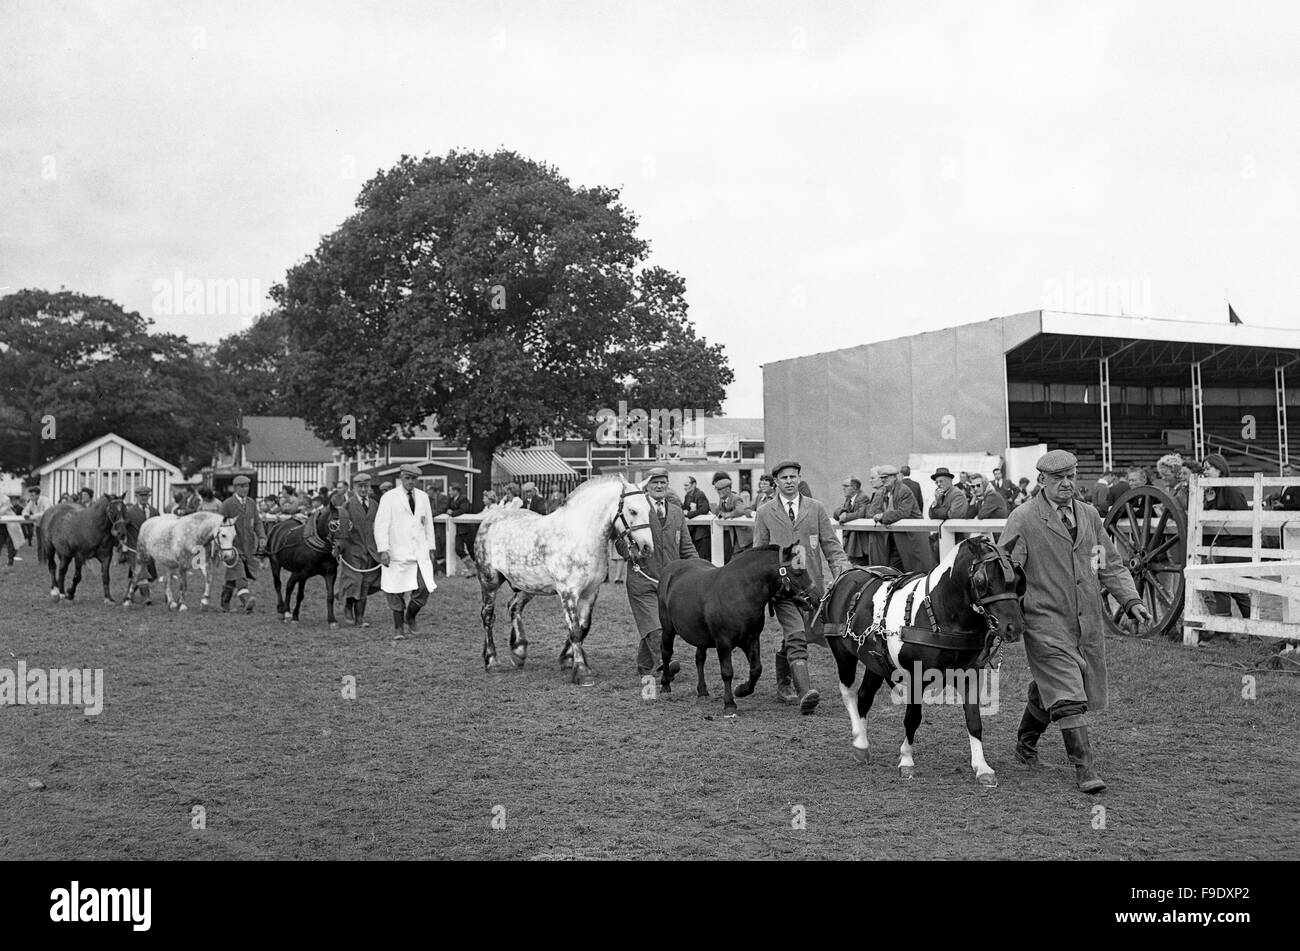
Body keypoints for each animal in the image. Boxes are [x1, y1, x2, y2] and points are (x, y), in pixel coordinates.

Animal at [475, 475, 655, 685]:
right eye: (632, 510)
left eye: (649, 509)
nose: (647, 548)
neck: (580, 536)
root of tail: (490, 519)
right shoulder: (568, 592)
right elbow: (574, 629)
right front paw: (582, 671)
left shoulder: (590, 593)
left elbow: (584, 627)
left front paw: (568, 659)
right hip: (489, 581)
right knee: (488, 616)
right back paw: (492, 661)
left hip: (528, 586)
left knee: (514, 607)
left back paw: (519, 651)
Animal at [660, 543, 811, 711]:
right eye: (797, 572)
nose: (813, 598)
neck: (739, 593)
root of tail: (670, 567)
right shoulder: (723, 642)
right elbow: (727, 672)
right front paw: (729, 703)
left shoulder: (751, 639)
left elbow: (756, 669)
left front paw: (742, 690)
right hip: (667, 629)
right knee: (666, 653)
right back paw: (665, 685)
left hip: (701, 636)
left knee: (700, 658)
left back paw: (703, 691)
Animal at [821, 535, 1024, 789]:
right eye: (981, 580)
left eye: (1017, 578)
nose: (1014, 628)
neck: (941, 613)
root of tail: (847, 575)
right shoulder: (917, 678)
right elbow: (912, 718)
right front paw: (906, 760)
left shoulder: (970, 674)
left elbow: (974, 720)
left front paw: (982, 767)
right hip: (843, 654)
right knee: (848, 692)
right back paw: (859, 741)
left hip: (875, 663)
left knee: (864, 697)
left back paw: (863, 747)